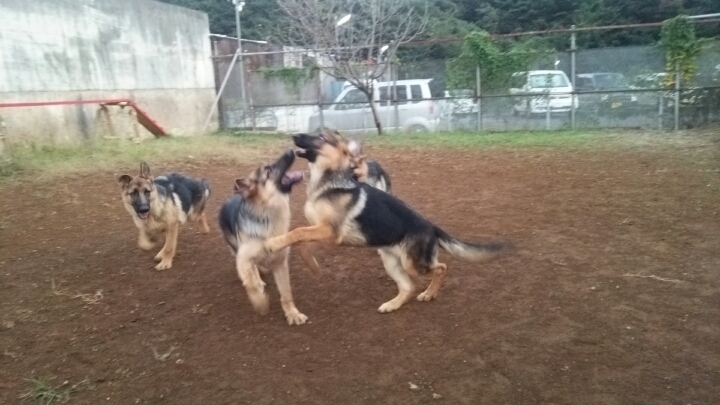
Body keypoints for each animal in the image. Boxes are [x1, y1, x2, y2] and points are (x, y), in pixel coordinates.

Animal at [219, 150, 310, 324]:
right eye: (268, 170)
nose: (290, 150)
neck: (268, 213)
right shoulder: (243, 260)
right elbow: (251, 285)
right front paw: (261, 303)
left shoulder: (280, 263)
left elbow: (286, 293)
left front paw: (292, 313)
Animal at [266, 132, 512, 312]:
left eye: (320, 137)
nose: (293, 135)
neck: (330, 181)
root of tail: (431, 226)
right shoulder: (325, 232)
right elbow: (302, 242)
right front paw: (313, 266)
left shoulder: (329, 231)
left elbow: (296, 233)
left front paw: (273, 243)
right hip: (391, 262)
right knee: (408, 287)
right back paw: (392, 305)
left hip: (413, 263)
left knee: (441, 268)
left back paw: (429, 294)